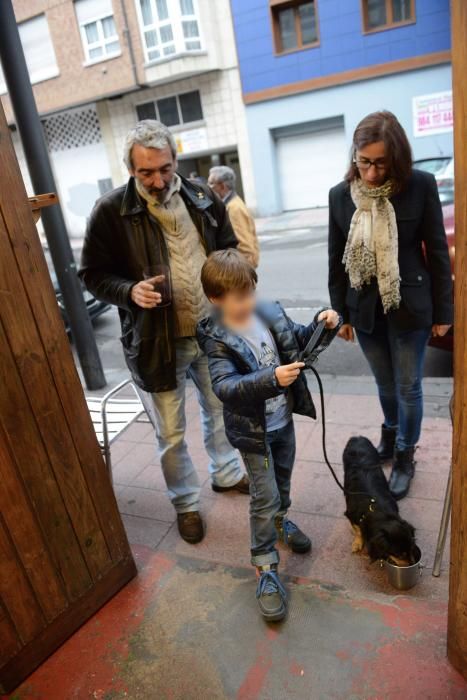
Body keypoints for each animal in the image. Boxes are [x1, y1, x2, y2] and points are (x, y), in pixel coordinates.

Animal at [344, 434, 416, 568]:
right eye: (399, 555)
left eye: (411, 548)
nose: (412, 565)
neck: (375, 508)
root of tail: (357, 437)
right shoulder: (350, 514)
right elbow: (358, 530)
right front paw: (358, 542)